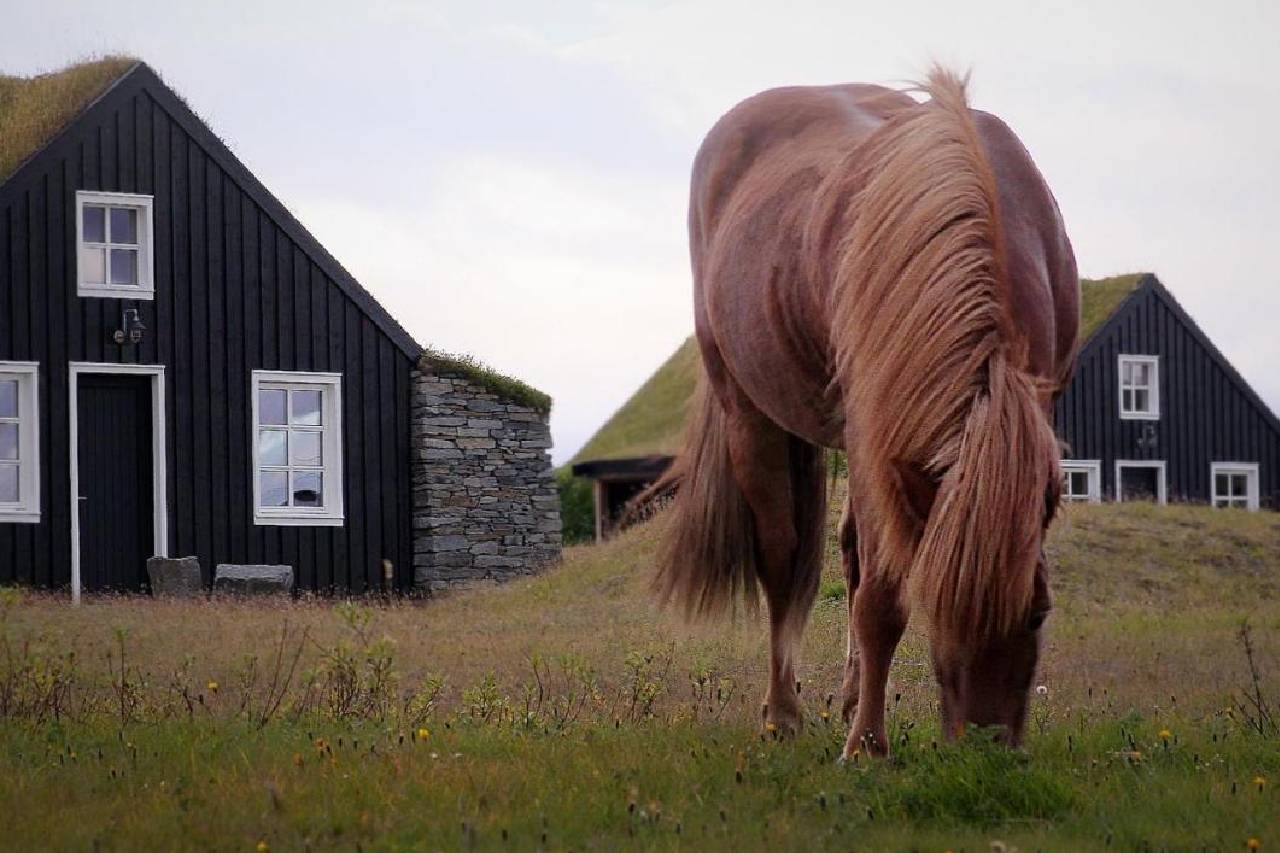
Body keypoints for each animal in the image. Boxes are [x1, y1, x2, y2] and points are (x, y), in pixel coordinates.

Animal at [651, 68, 1078, 758]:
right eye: (939, 606)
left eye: (1037, 612)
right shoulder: (870, 435)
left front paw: (863, 722)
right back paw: (784, 713)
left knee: (851, 551)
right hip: (748, 413)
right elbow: (881, 598)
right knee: (783, 557)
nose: (987, 751)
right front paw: (867, 747)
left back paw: (849, 695)